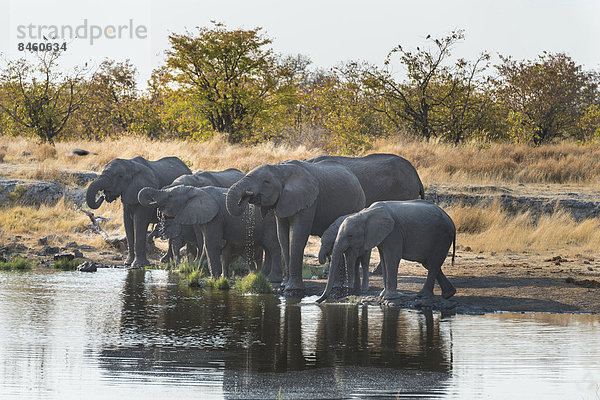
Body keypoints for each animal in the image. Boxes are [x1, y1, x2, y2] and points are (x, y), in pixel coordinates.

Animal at [138, 185, 284, 282]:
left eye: (170, 196)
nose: (157, 209)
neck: (196, 190)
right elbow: (205, 245)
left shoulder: (215, 217)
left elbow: (210, 244)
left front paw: (215, 279)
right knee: (267, 249)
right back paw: (262, 275)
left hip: (270, 223)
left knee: (273, 246)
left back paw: (271, 279)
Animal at [226, 159, 364, 294]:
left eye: (266, 182)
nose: (247, 195)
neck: (280, 169)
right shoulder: (282, 201)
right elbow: (282, 236)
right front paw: (284, 284)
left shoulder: (308, 201)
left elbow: (298, 235)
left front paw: (293, 289)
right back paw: (337, 286)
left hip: (357, 204)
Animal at [318, 200, 454, 304]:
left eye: (350, 235)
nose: (317, 301)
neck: (365, 214)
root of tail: (450, 219)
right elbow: (383, 258)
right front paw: (382, 295)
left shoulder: (394, 232)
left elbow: (391, 257)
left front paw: (389, 297)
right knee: (430, 264)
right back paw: (448, 294)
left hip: (442, 237)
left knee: (433, 264)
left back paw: (423, 295)